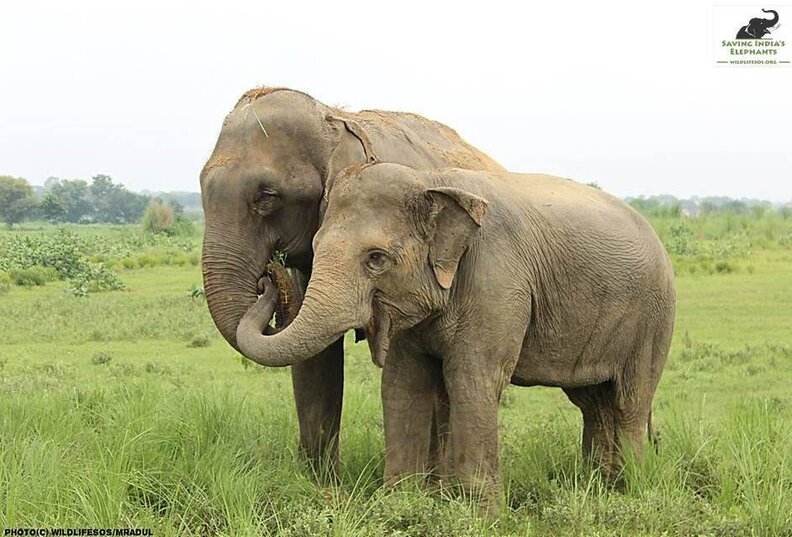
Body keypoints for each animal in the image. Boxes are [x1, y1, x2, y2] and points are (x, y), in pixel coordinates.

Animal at [235, 162, 676, 514]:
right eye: (315, 246)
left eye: (377, 259)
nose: (267, 275)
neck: (432, 181)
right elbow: (401, 384)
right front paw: (399, 504)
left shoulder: (497, 281)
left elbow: (471, 380)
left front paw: (483, 518)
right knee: (592, 402)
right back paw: (598, 487)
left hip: (654, 318)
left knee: (628, 402)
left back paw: (628, 491)